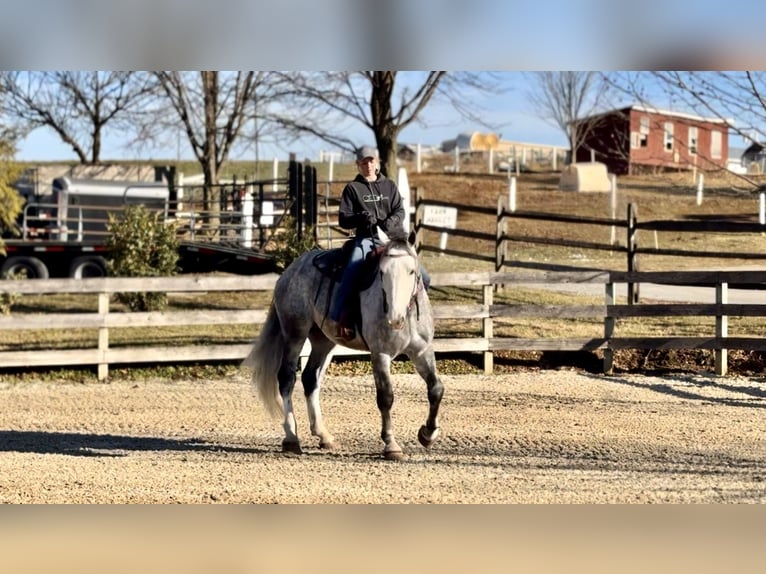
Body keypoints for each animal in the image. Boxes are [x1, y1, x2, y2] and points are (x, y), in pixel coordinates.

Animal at [243, 230, 443, 460]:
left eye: (411, 271)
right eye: (381, 272)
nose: (394, 319)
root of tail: (290, 271)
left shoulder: (422, 351)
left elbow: (436, 389)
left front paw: (428, 434)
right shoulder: (380, 354)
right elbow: (385, 396)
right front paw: (391, 444)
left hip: (323, 341)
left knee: (310, 378)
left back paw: (324, 435)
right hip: (295, 334)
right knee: (286, 379)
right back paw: (292, 437)